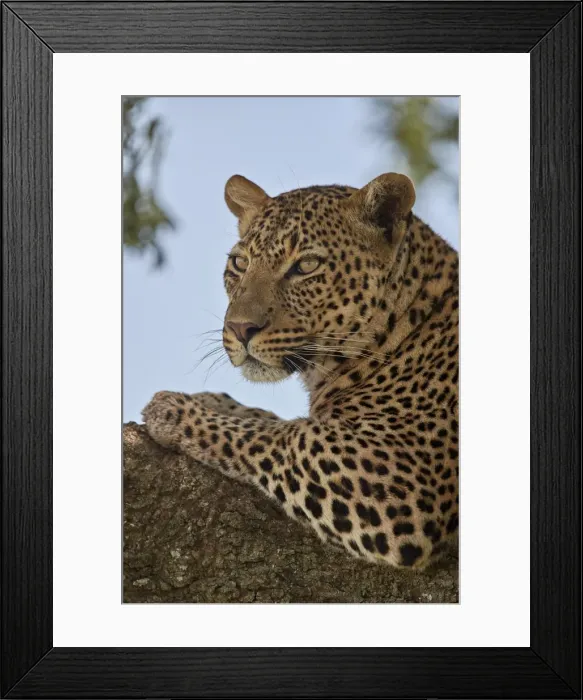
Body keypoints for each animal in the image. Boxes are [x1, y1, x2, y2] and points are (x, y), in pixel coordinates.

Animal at [143, 172, 459, 570]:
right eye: (240, 263)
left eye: (306, 266)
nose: (240, 329)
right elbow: (271, 417)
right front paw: (209, 400)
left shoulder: (398, 478)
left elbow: (282, 434)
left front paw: (175, 411)